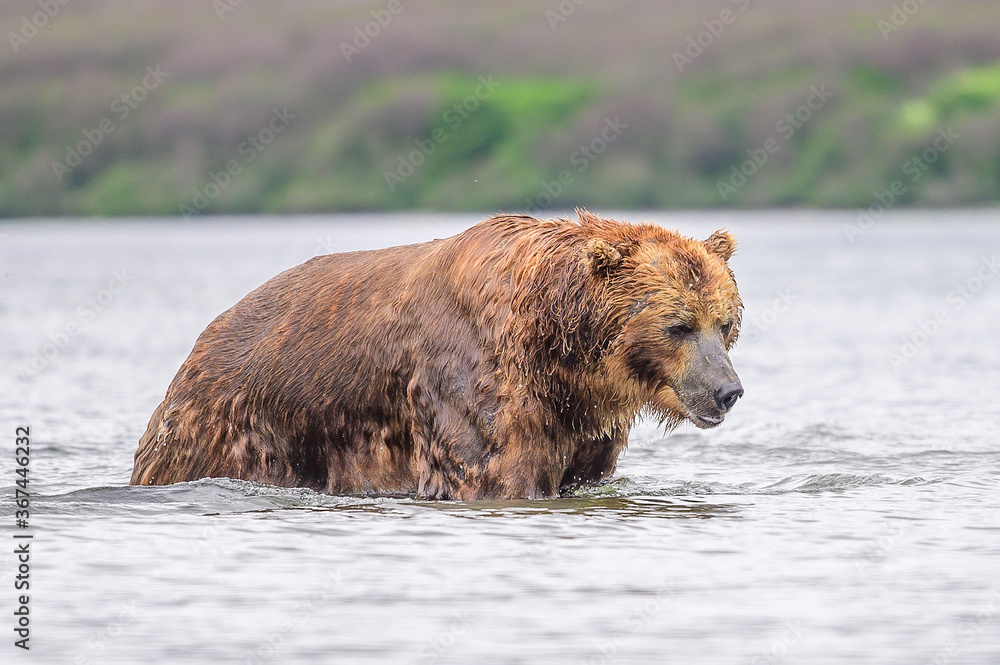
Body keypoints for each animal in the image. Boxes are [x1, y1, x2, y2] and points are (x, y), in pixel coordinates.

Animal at [130, 210, 743, 500]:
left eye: (725, 323)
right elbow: (489, 469)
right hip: (225, 429)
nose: (727, 391)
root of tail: (198, 347)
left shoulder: (578, 418)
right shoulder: (472, 379)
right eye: (678, 326)